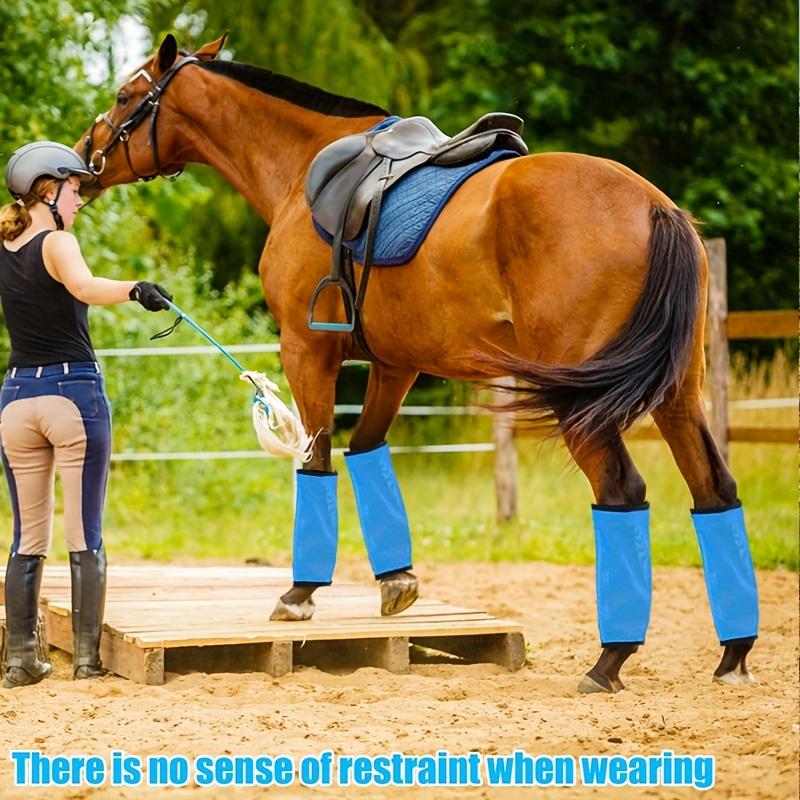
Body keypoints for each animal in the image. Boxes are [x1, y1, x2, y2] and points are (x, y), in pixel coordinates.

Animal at [76, 33, 759, 693]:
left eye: (123, 95)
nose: (84, 161)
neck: (304, 168)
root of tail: (655, 207)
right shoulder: (395, 364)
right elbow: (366, 453)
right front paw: (397, 581)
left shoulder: (306, 350)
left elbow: (317, 460)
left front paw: (300, 595)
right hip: (678, 394)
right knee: (715, 490)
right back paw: (733, 654)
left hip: (587, 405)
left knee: (622, 492)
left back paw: (610, 659)